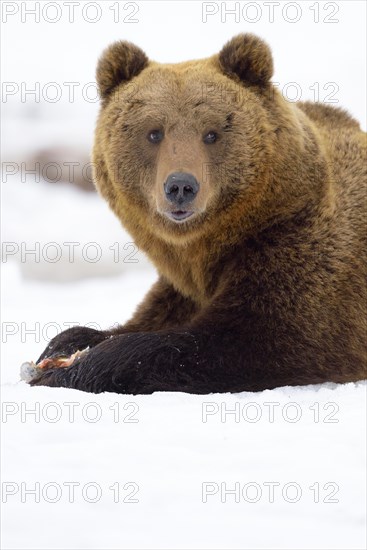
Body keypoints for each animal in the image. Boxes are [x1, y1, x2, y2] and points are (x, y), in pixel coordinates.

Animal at [26, 34, 367, 394]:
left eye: (212, 133)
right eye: (154, 132)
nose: (180, 186)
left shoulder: (302, 252)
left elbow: (254, 338)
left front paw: (74, 368)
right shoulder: (184, 286)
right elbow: (147, 318)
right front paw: (63, 345)